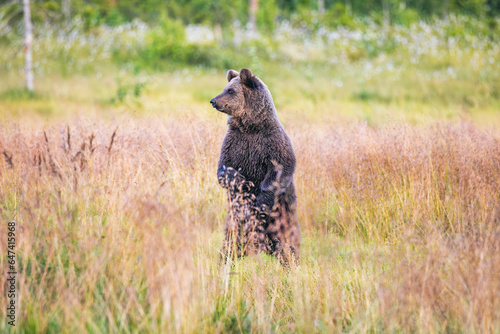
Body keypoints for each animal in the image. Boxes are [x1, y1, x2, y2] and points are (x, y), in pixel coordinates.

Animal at [209, 69, 298, 264]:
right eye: (226, 88)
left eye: (230, 90)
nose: (213, 100)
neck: (249, 127)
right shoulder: (234, 143)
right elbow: (223, 170)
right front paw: (242, 182)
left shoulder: (271, 143)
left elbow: (280, 170)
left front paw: (261, 201)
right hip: (235, 219)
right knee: (231, 240)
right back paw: (226, 259)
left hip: (283, 215)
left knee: (287, 242)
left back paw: (290, 261)